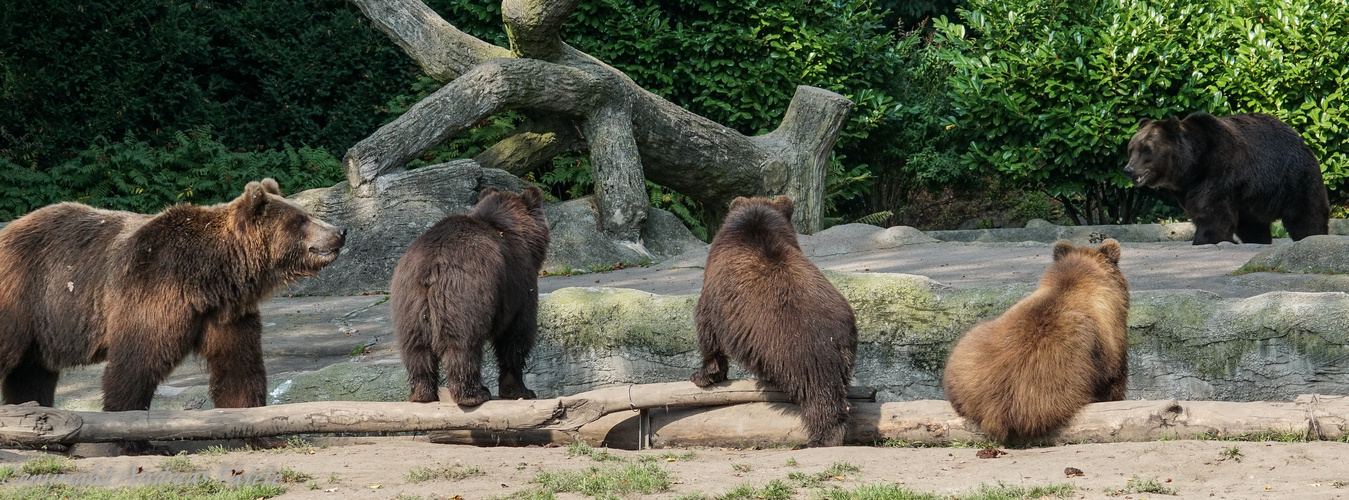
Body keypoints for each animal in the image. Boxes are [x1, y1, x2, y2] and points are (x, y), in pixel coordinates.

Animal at [0, 180, 348, 455]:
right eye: (301, 219)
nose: (341, 231)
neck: (211, 279)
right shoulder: (154, 291)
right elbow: (135, 364)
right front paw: (140, 440)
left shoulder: (225, 315)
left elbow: (239, 367)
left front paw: (265, 434)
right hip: (24, 297)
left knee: (31, 374)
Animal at [393, 185, 550, 404]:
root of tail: (430, 267)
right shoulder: (519, 283)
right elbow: (516, 334)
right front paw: (521, 390)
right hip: (463, 295)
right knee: (462, 345)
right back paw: (474, 394)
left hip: (410, 303)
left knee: (416, 349)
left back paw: (422, 394)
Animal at [690, 195, 857, 447]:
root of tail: (836, 336)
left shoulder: (714, 295)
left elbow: (709, 333)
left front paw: (703, 375)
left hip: (798, 349)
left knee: (819, 395)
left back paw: (821, 438)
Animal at [1116, 113, 1327, 246]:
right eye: (1131, 149)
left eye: (1147, 150)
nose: (1128, 169)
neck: (1191, 167)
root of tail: (1299, 137)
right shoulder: (1188, 189)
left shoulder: (1218, 171)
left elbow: (1213, 215)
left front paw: (1205, 239)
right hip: (1252, 200)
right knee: (1252, 225)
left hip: (1293, 178)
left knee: (1307, 214)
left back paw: (1313, 236)